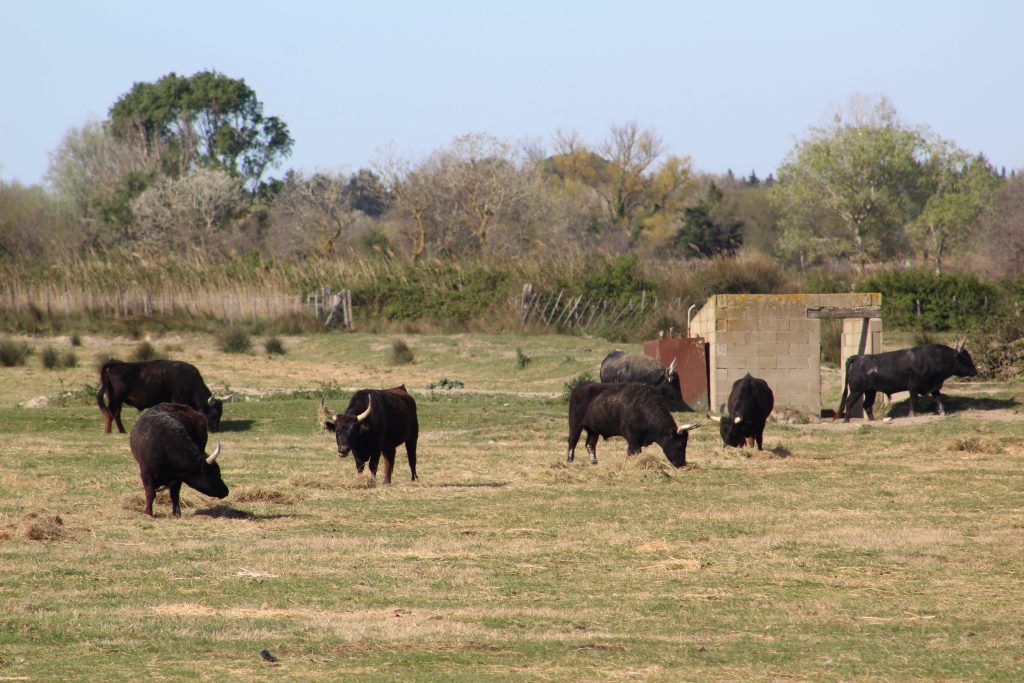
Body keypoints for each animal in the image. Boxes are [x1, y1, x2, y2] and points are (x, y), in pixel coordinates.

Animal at [96, 360, 230, 436]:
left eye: (220, 414)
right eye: (213, 414)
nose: (216, 430)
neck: (189, 381)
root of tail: (114, 365)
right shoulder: (178, 401)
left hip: (116, 400)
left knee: (115, 413)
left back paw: (121, 430)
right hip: (116, 399)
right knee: (112, 412)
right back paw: (108, 430)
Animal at [565, 382, 700, 466]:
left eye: (685, 443)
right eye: (679, 444)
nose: (681, 464)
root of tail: (579, 386)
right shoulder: (632, 438)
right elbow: (633, 452)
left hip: (593, 430)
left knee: (590, 444)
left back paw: (594, 462)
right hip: (575, 425)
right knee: (572, 441)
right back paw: (570, 460)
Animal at [835, 342, 978, 421]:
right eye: (964, 358)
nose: (975, 371)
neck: (933, 358)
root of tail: (859, 358)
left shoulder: (933, 386)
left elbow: (938, 397)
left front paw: (942, 411)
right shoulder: (913, 386)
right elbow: (913, 400)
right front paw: (912, 414)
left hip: (870, 391)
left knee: (867, 405)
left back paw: (873, 420)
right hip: (856, 390)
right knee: (849, 403)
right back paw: (846, 420)